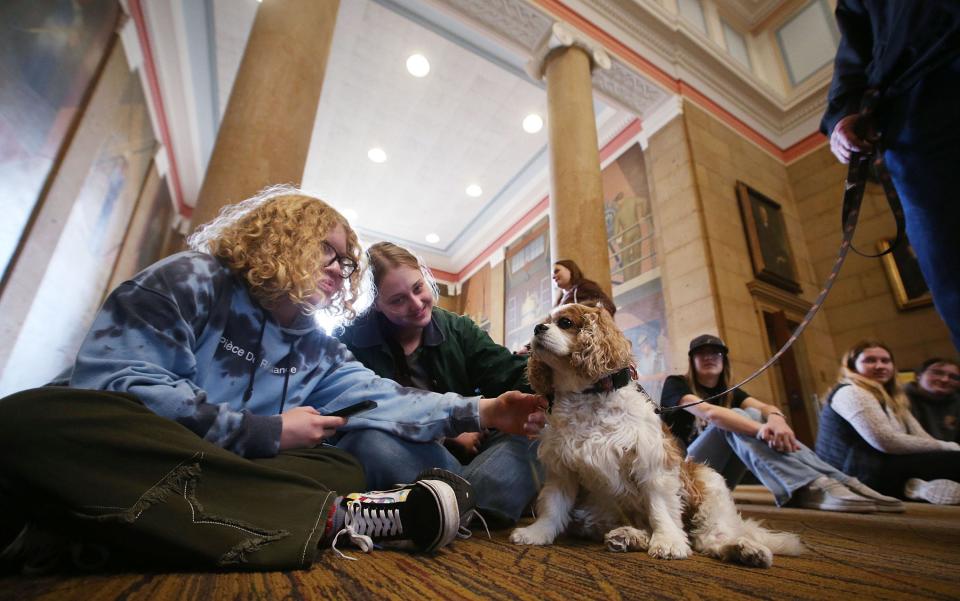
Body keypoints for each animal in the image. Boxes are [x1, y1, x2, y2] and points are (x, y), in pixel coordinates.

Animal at [510, 304, 804, 568]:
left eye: (565, 323)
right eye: (543, 321)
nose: (537, 328)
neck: (587, 395)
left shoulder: (652, 464)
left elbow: (661, 509)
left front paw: (669, 542)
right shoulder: (563, 469)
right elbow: (553, 506)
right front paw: (536, 533)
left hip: (709, 484)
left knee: (709, 539)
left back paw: (745, 549)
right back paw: (629, 536)